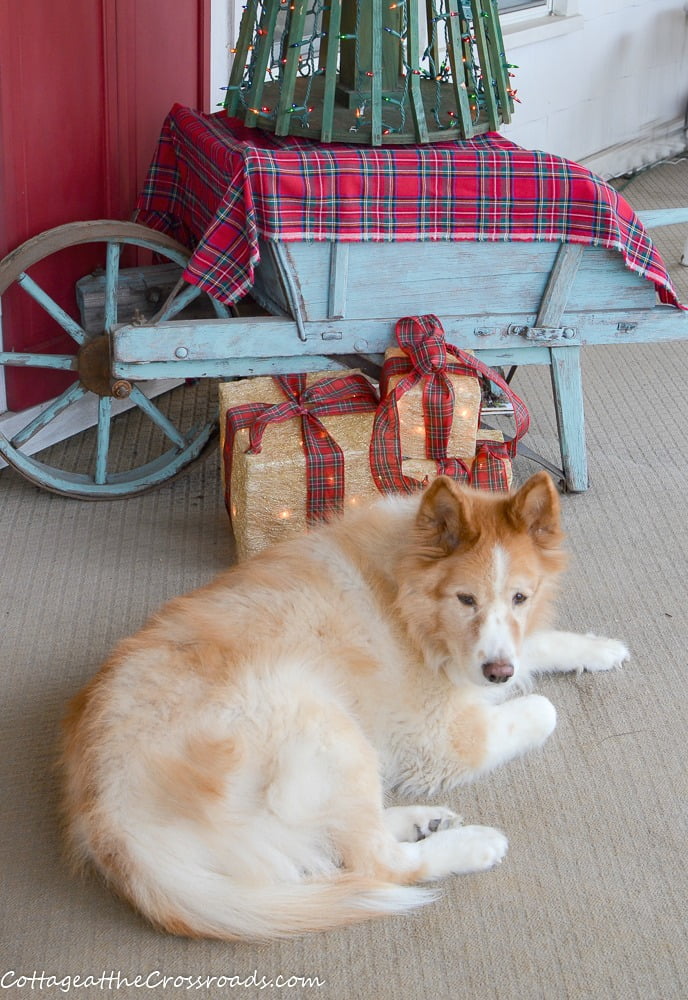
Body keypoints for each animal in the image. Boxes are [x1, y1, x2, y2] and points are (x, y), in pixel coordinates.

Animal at [60, 468, 628, 936]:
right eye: (465, 599)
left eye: (520, 598)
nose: (497, 673)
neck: (405, 595)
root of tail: (114, 825)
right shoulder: (441, 736)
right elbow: (543, 710)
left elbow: (539, 644)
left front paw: (600, 650)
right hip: (326, 726)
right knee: (374, 861)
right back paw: (470, 845)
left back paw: (421, 820)